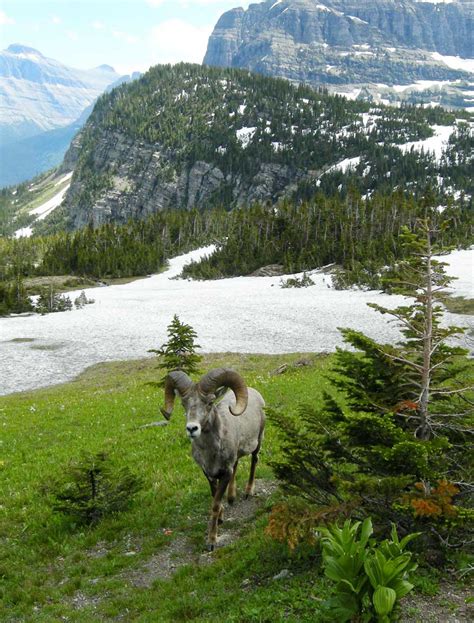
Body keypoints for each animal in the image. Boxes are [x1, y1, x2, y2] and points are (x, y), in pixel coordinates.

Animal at [161, 368, 264, 548]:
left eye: (209, 403)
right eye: (184, 404)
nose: (192, 428)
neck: (210, 453)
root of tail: (255, 393)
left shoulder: (225, 474)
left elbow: (215, 504)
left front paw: (211, 541)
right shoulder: (208, 473)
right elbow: (215, 496)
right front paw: (221, 516)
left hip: (258, 442)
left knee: (254, 461)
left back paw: (248, 492)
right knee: (237, 465)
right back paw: (231, 497)